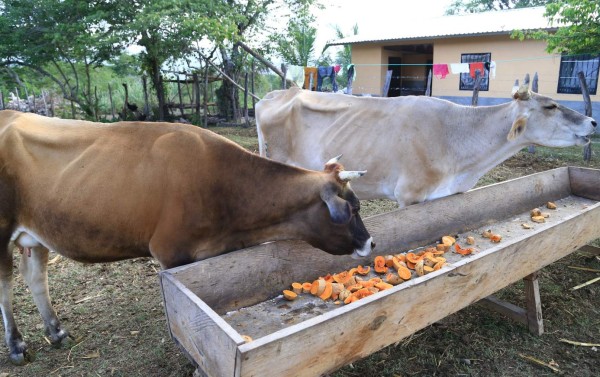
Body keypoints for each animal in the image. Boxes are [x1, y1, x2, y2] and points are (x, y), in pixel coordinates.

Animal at [0, 109, 376, 364]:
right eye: (353, 208)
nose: (372, 243)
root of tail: (11, 113)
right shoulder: (171, 252)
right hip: (2, 228)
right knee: (5, 286)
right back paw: (17, 346)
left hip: (38, 233)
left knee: (35, 277)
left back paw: (56, 332)